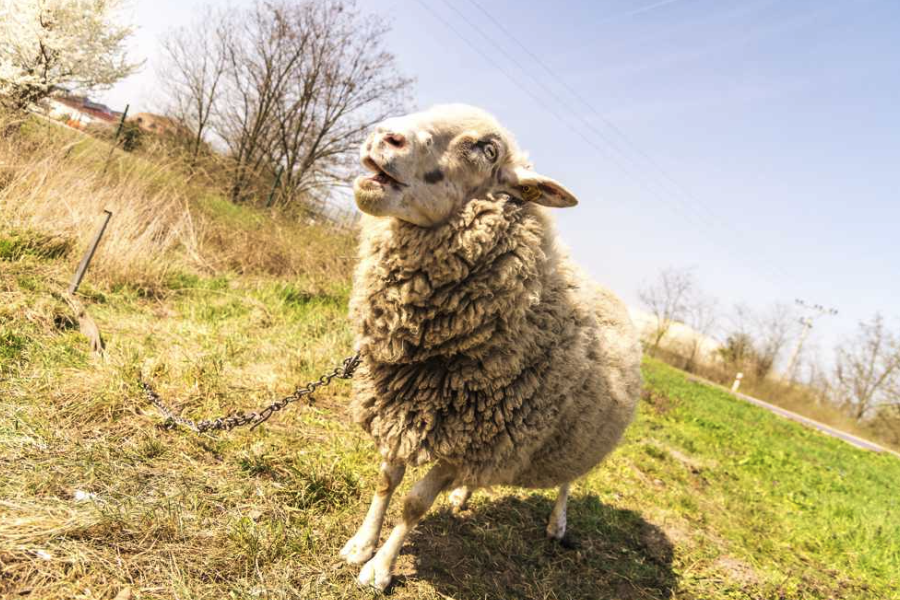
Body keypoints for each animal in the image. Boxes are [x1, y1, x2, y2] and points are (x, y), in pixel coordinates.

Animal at [338, 104, 640, 592]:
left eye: (487, 149)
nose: (386, 137)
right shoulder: (402, 409)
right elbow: (386, 480)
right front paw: (360, 545)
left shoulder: (469, 438)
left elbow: (415, 504)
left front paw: (380, 570)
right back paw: (462, 494)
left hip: (578, 438)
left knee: (567, 482)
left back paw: (557, 524)